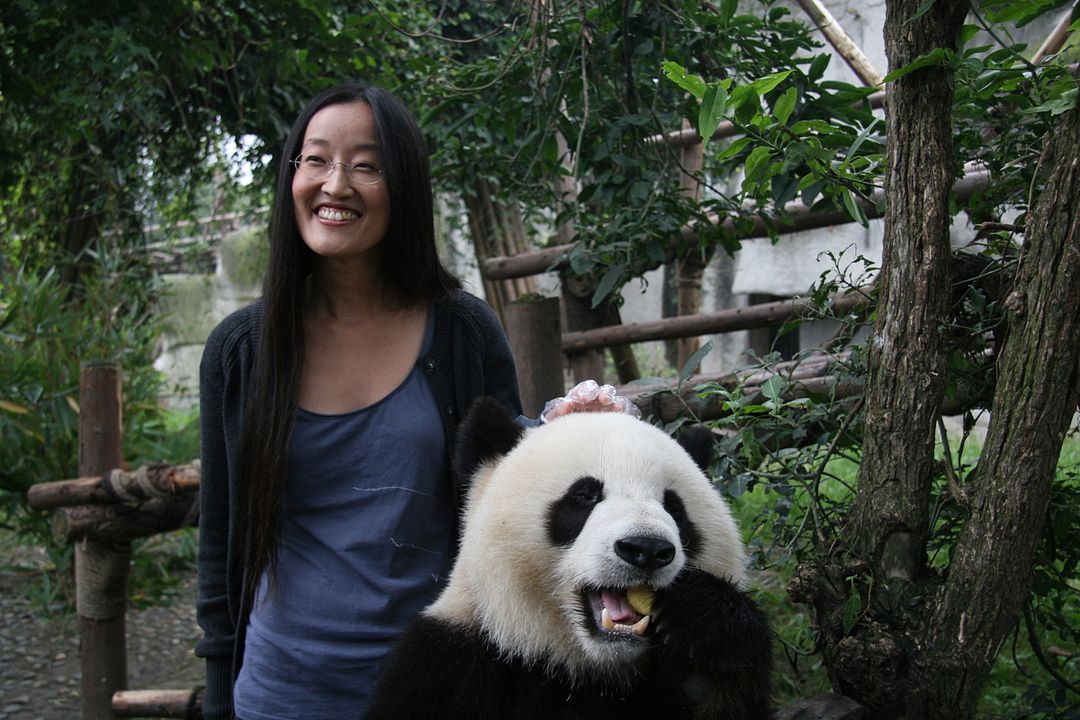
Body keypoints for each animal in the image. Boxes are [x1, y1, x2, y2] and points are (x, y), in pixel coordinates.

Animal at [366, 397, 772, 720]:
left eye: (673, 506)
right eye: (584, 495)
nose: (646, 549)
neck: (593, 667)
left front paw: (704, 616)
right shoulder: (449, 665)